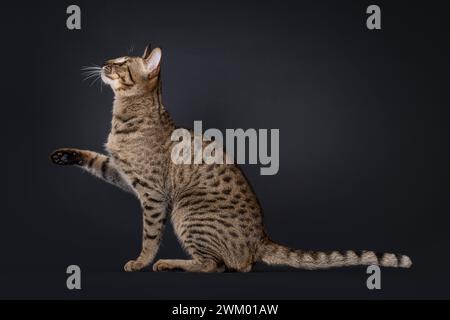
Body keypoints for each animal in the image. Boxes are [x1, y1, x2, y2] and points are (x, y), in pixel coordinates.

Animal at [50, 45, 412, 272]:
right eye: (114, 59)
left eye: (122, 63)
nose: (104, 63)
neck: (126, 116)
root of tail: (262, 238)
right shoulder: (122, 174)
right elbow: (96, 160)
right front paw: (65, 154)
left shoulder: (152, 194)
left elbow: (149, 237)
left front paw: (141, 262)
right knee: (240, 266)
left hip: (185, 212)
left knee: (217, 265)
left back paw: (170, 264)